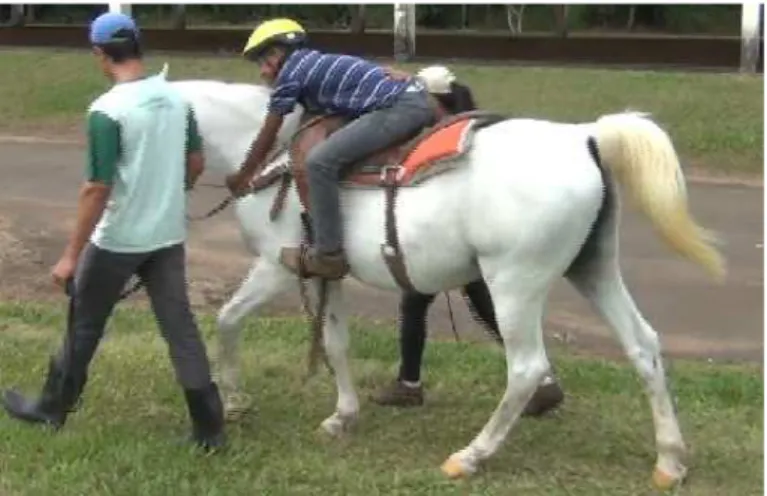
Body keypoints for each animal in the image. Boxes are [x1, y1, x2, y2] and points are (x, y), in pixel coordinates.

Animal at [171, 74, 724, 488]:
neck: (273, 154)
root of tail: (584, 138)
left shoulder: (277, 266)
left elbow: (228, 319)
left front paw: (235, 399)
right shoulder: (331, 273)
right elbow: (336, 344)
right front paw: (342, 416)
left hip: (515, 284)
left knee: (527, 368)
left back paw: (471, 455)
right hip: (594, 269)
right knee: (643, 346)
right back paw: (670, 461)